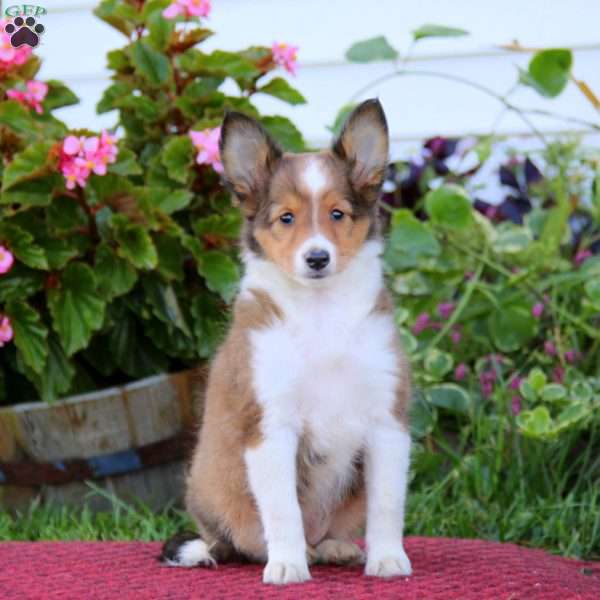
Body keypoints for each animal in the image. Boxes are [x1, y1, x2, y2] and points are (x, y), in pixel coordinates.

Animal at [159, 99, 412, 584]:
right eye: (286, 218)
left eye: (338, 214)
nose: (316, 258)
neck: (321, 314)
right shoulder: (269, 426)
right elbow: (282, 510)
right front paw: (288, 566)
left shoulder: (386, 421)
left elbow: (387, 503)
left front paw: (388, 559)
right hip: (214, 493)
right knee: (230, 540)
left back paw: (334, 547)